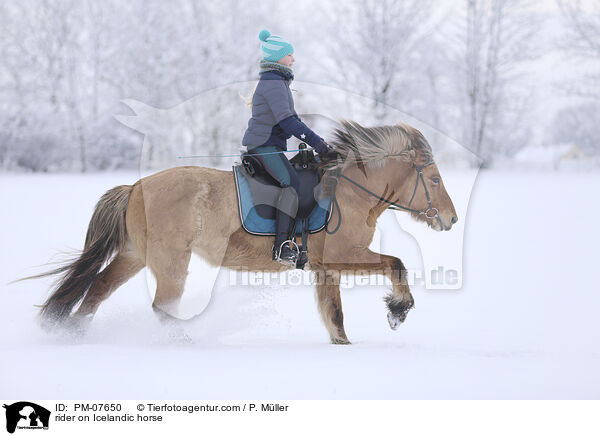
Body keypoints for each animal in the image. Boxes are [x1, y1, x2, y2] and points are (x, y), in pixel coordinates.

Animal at [21, 119, 458, 344]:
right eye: (435, 180)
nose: (451, 219)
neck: (347, 191)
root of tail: (135, 188)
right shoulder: (341, 257)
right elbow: (396, 263)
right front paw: (398, 311)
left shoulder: (325, 269)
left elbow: (334, 314)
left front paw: (345, 344)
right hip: (170, 261)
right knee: (161, 307)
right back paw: (187, 340)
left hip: (134, 256)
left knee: (95, 293)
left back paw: (72, 336)